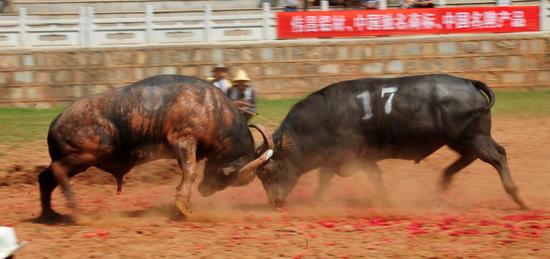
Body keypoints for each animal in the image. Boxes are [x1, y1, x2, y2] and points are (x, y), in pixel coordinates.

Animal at [202, 72, 528, 209]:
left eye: (268, 172)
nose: (276, 202)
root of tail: (469, 84)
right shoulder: (354, 160)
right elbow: (362, 178)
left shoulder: (347, 157)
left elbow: (329, 180)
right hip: (463, 140)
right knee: (470, 159)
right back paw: (442, 185)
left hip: (474, 137)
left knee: (498, 156)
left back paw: (518, 196)